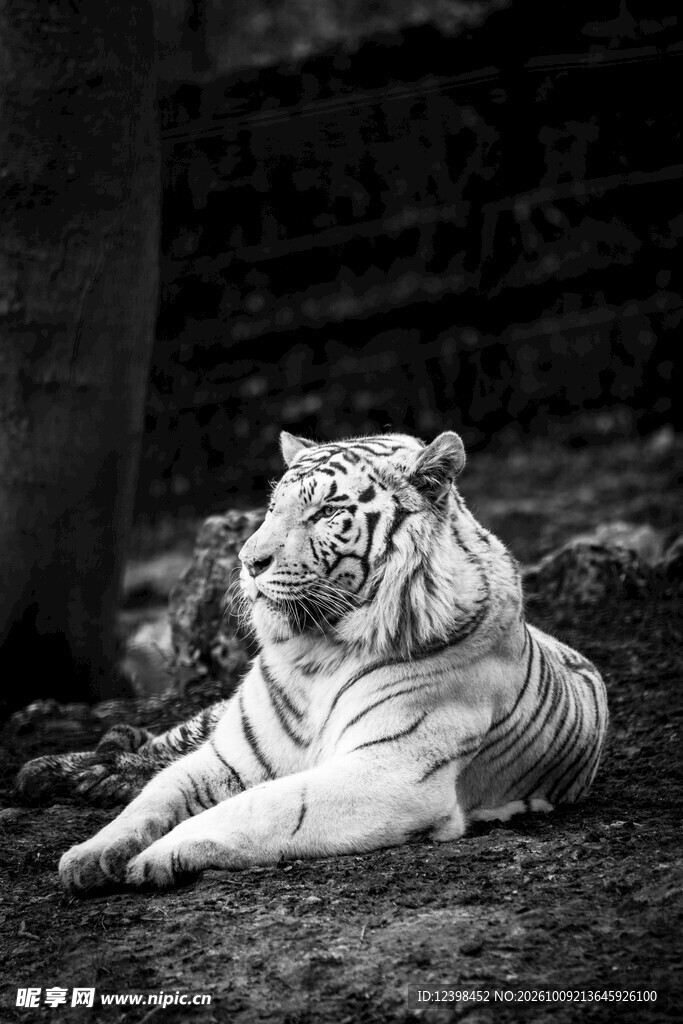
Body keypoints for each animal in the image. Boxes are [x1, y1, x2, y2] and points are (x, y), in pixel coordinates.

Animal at [19, 430, 608, 892]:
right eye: (272, 509)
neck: (317, 653)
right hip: (215, 719)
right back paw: (57, 772)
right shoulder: (231, 755)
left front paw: (157, 856)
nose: (248, 561)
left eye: (326, 512)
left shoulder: (390, 772)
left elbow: (262, 805)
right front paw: (90, 854)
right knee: (153, 745)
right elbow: (156, 795)